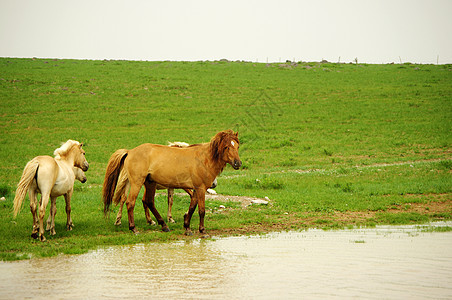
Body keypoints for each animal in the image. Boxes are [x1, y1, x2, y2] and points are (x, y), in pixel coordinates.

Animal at [103, 130, 242, 236]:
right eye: (226, 147)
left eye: (237, 146)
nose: (238, 163)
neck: (204, 159)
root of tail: (130, 152)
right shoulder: (200, 188)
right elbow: (201, 210)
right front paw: (202, 231)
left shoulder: (195, 189)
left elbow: (192, 207)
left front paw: (187, 227)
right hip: (137, 183)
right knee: (130, 202)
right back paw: (133, 228)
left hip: (150, 183)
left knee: (149, 202)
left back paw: (163, 225)